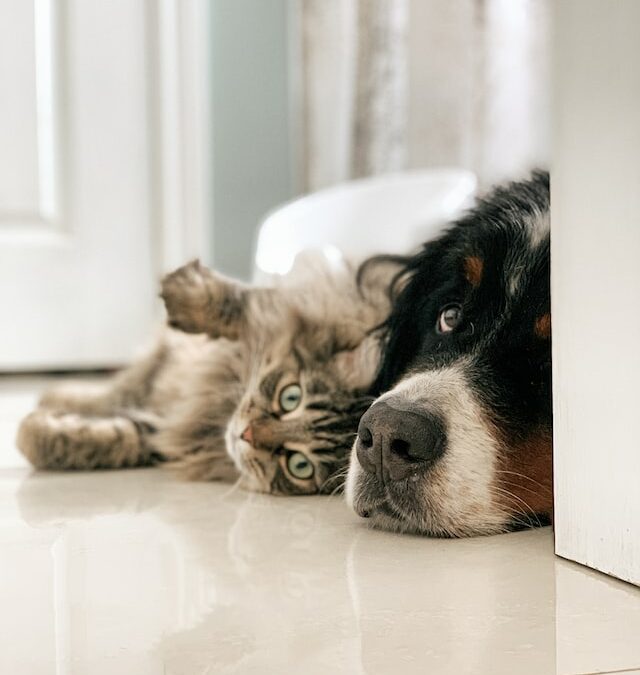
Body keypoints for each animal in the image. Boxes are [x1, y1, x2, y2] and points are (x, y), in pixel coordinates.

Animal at [17, 256, 396, 494]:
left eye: (299, 465)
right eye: (291, 397)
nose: (246, 435)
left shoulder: (168, 433)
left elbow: (117, 437)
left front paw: (31, 433)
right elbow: (244, 303)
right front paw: (185, 291)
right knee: (116, 389)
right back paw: (55, 393)